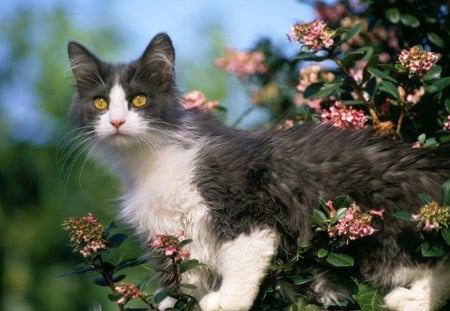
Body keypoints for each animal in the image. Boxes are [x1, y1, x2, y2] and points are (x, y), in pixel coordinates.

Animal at [66, 33, 450, 310]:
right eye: (100, 102)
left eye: (139, 100)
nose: (116, 122)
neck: (148, 160)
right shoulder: (173, 241)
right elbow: (178, 287)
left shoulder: (246, 201)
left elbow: (242, 257)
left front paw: (228, 300)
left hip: (386, 226)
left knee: (434, 266)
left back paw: (410, 299)